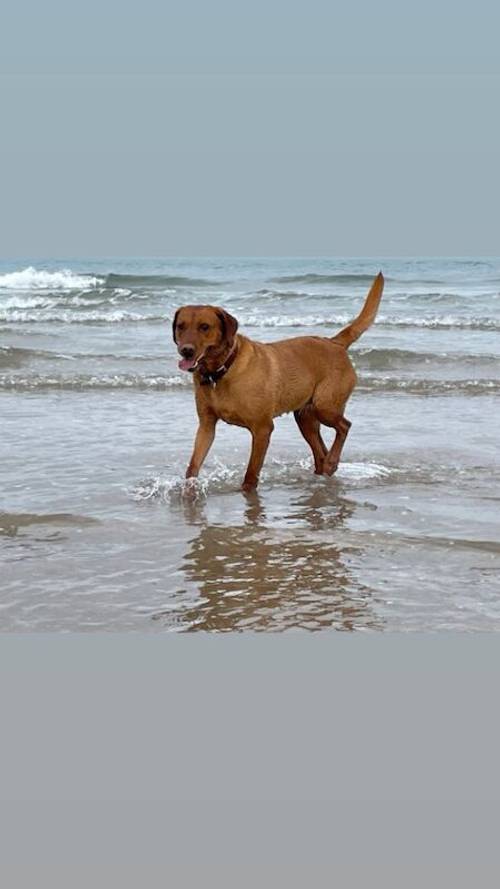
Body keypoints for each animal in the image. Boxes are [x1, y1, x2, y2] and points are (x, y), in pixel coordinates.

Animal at [172, 272, 382, 492]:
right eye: (180, 326)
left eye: (204, 327)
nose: (186, 350)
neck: (222, 370)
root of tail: (334, 342)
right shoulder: (206, 425)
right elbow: (193, 464)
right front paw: (189, 489)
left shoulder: (262, 428)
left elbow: (251, 473)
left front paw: (247, 490)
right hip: (305, 417)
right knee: (320, 452)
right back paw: (324, 469)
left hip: (325, 406)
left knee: (344, 426)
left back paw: (332, 461)